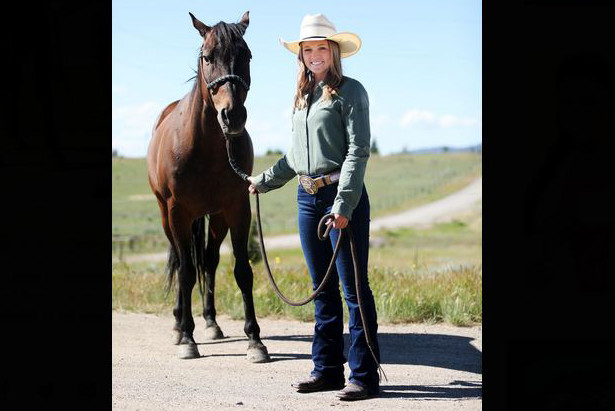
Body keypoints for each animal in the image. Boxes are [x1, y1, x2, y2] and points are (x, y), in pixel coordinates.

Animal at [147, 10, 270, 364]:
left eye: (246, 55)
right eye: (207, 57)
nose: (233, 115)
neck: (205, 146)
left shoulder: (237, 209)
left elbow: (242, 271)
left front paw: (255, 340)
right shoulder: (178, 213)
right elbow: (187, 272)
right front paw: (188, 339)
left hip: (215, 218)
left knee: (210, 260)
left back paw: (211, 322)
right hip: (168, 217)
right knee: (181, 260)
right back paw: (179, 326)